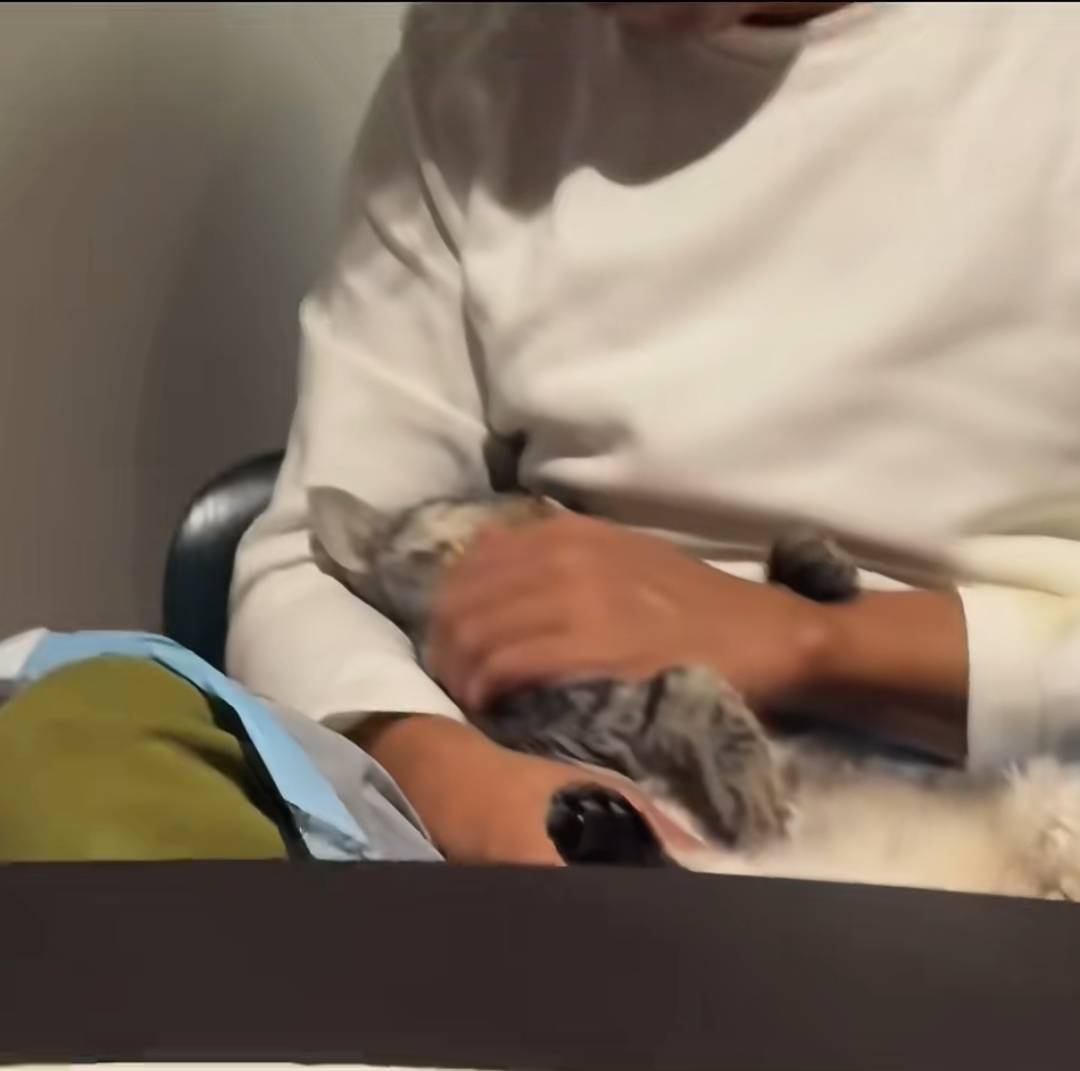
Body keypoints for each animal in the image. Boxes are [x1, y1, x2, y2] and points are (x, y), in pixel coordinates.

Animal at [311, 488, 1080, 900]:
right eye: (491, 494)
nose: (550, 498)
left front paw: (816, 565)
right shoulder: (583, 727)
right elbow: (692, 684)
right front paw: (756, 796)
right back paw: (599, 827)